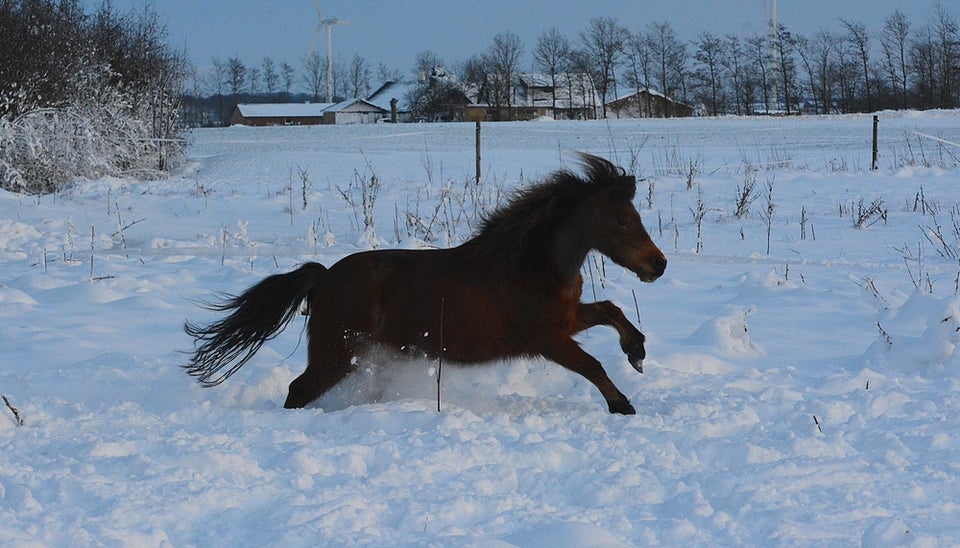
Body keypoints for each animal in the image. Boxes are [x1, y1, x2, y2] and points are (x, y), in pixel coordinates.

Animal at [188, 152, 668, 414]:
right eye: (622, 221)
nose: (659, 265)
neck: (532, 264)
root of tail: (323, 278)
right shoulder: (547, 338)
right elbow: (594, 365)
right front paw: (623, 405)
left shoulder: (567, 318)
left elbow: (611, 310)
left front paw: (637, 353)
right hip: (335, 353)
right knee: (297, 390)